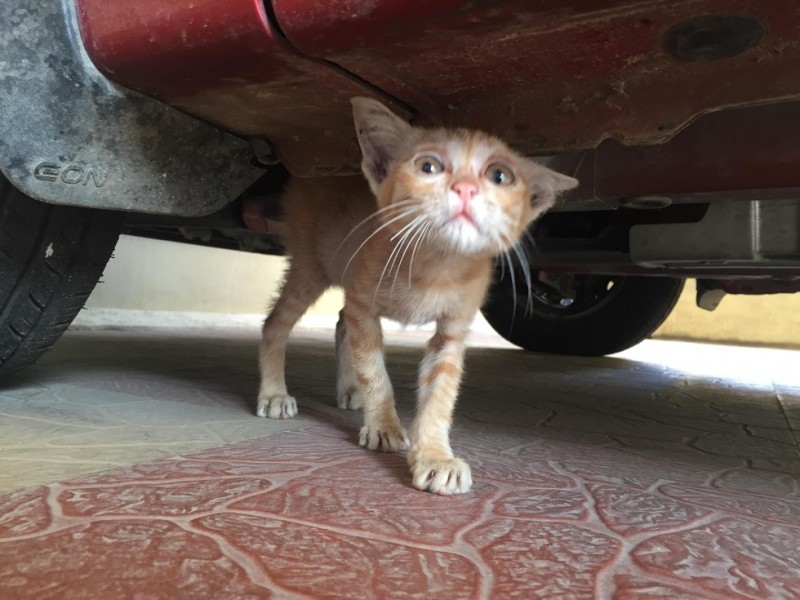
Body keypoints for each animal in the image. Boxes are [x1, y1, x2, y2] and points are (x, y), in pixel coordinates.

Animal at [260, 97, 580, 492]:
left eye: (500, 176)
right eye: (428, 167)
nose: (465, 188)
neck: (436, 267)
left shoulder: (452, 330)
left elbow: (440, 394)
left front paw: (435, 456)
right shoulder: (364, 304)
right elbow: (374, 370)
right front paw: (383, 425)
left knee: (340, 322)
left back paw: (348, 389)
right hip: (311, 266)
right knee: (276, 322)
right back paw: (274, 393)